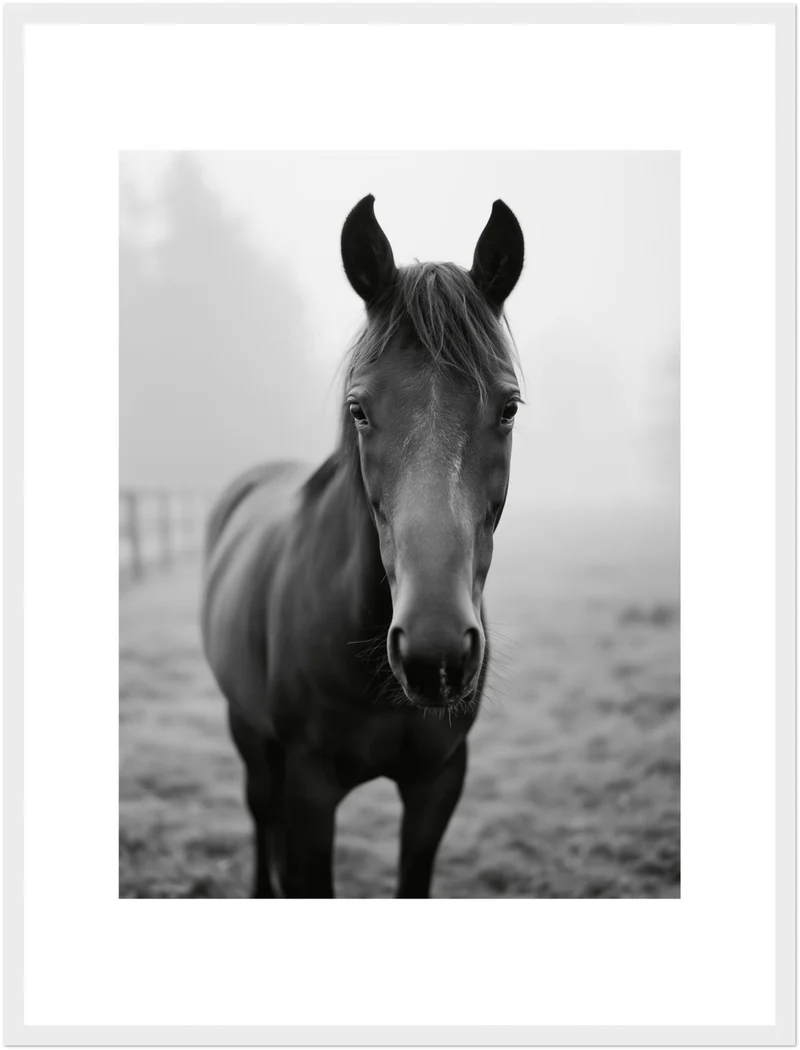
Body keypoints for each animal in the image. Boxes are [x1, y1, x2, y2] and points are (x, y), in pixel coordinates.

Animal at [201, 195, 524, 898]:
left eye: (509, 407)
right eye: (358, 410)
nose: (435, 655)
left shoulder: (438, 785)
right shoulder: (309, 791)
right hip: (248, 731)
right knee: (259, 811)